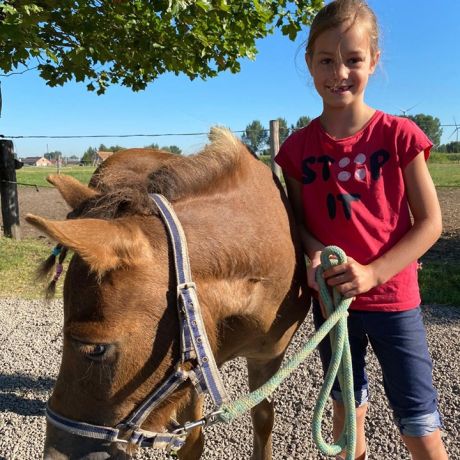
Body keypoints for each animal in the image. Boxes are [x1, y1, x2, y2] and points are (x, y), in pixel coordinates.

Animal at [27, 128, 310, 460]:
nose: (53, 454)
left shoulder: (267, 359)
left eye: (95, 348)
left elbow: (263, 416)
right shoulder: (196, 363)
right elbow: (193, 439)